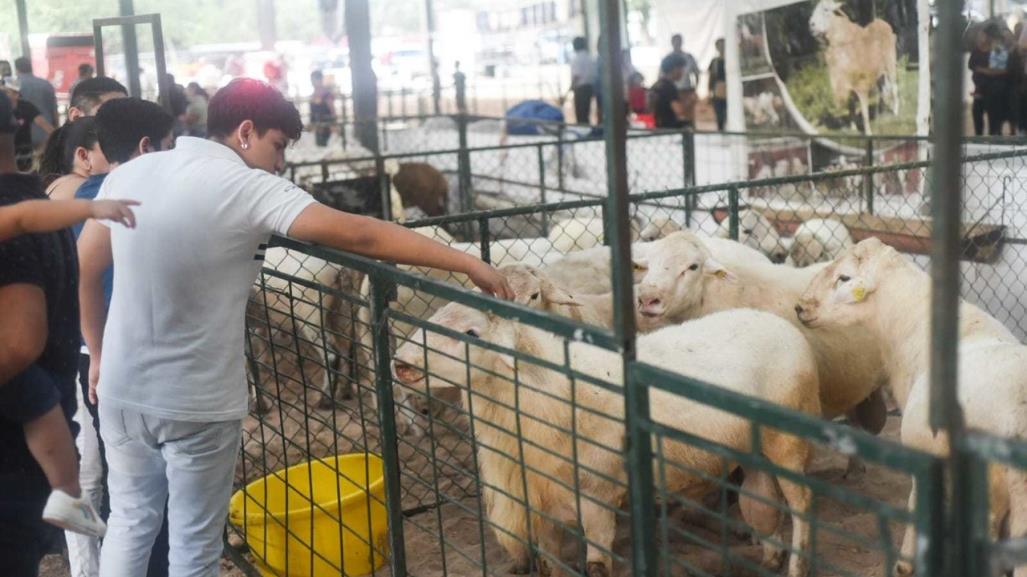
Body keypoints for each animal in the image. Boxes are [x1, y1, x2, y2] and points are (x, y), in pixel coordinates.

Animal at [392, 293, 817, 570]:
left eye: (472, 333)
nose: (400, 363)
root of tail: (780, 323)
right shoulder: (544, 505)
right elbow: (549, 565)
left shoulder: (597, 497)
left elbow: (597, 565)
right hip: (754, 449)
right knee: (760, 503)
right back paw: (772, 555)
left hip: (788, 443)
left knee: (801, 505)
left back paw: (797, 563)